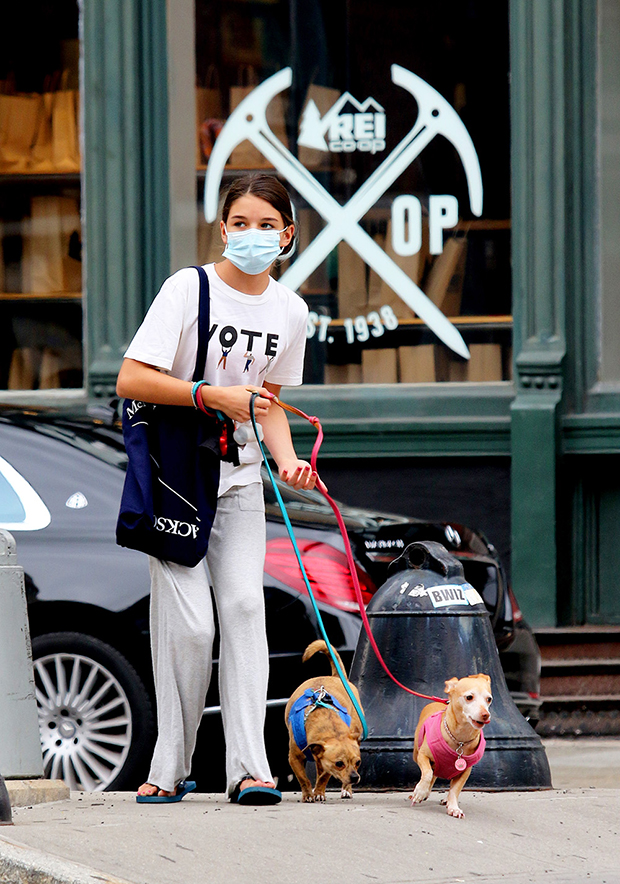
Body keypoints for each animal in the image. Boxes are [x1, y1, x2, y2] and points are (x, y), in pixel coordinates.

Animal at [284, 640, 366, 804]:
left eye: (358, 762)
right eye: (339, 764)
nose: (355, 777)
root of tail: (335, 677)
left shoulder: (327, 763)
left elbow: (323, 777)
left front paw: (319, 792)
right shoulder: (294, 758)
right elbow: (303, 778)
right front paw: (308, 794)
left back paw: (346, 790)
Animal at [410, 672, 492, 820]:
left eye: (489, 699)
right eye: (469, 697)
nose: (485, 715)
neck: (460, 739)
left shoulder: (465, 771)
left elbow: (455, 789)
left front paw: (453, 807)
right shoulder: (423, 756)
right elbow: (427, 774)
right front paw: (420, 791)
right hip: (416, 754)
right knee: (432, 772)